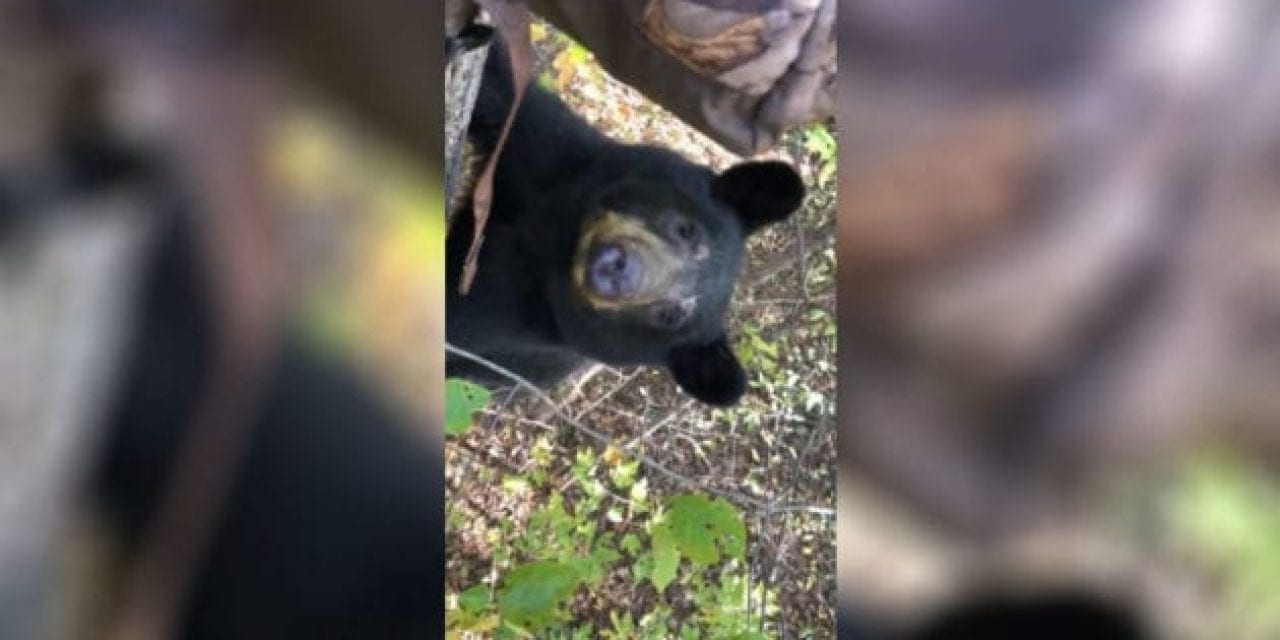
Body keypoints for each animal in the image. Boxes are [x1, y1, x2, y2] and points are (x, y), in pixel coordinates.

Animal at [445, 42, 803, 407]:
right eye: (686, 231)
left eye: (670, 315)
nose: (621, 270)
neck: (553, 242)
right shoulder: (553, 156)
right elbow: (505, 91)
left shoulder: (513, 327)